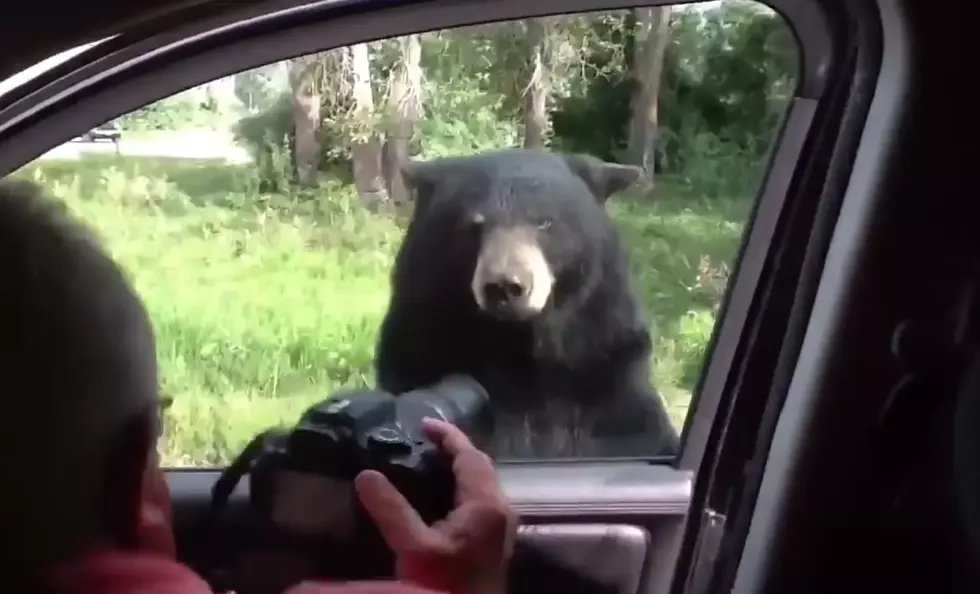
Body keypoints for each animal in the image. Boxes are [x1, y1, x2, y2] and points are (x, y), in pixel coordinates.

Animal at [376, 148, 680, 458]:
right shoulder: (422, 350)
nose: (504, 286)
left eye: (544, 222)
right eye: (474, 226)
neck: (524, 351)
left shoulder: (606, 368)